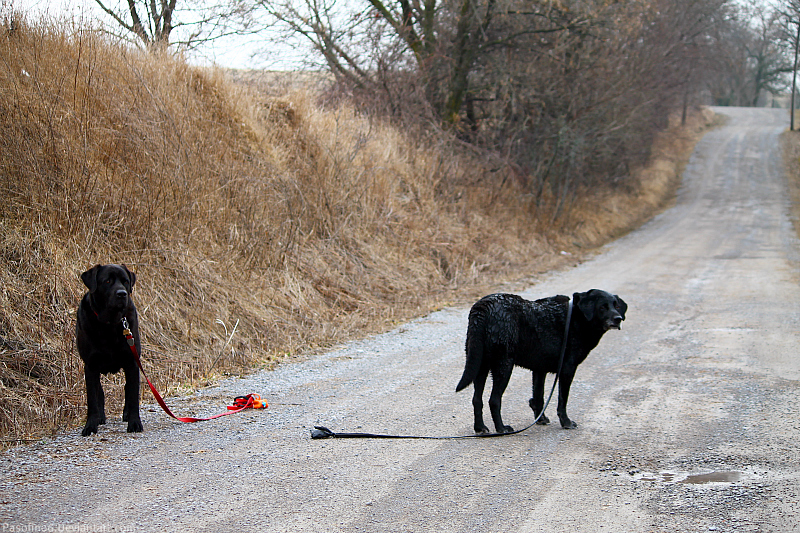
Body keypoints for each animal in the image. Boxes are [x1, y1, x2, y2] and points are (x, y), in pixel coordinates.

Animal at [75, 264, 142, 434]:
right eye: (107, 281)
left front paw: (134, 423)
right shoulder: (90, 366)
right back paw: (100, 417)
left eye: (125, 281)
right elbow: (92, 398)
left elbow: (133, 395)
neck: (109, 324)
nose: (122, 293)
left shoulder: (132, 362)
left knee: (128, 388)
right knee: (99, 392)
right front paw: (90, 425)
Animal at [456, 290, 624, 432]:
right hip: (504, 366)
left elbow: (539, 397)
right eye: (602, 307)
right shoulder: (567, 369)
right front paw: (566, 422)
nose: (618, 319)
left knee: (477, 399)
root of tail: (483, 307)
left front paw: (540, 419)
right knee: (494, 400)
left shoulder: (539, 369)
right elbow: (562, 400)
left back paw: (480, 428)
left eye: (616, 306)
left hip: (480, 364)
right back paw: (502, 428)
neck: (576, 318)